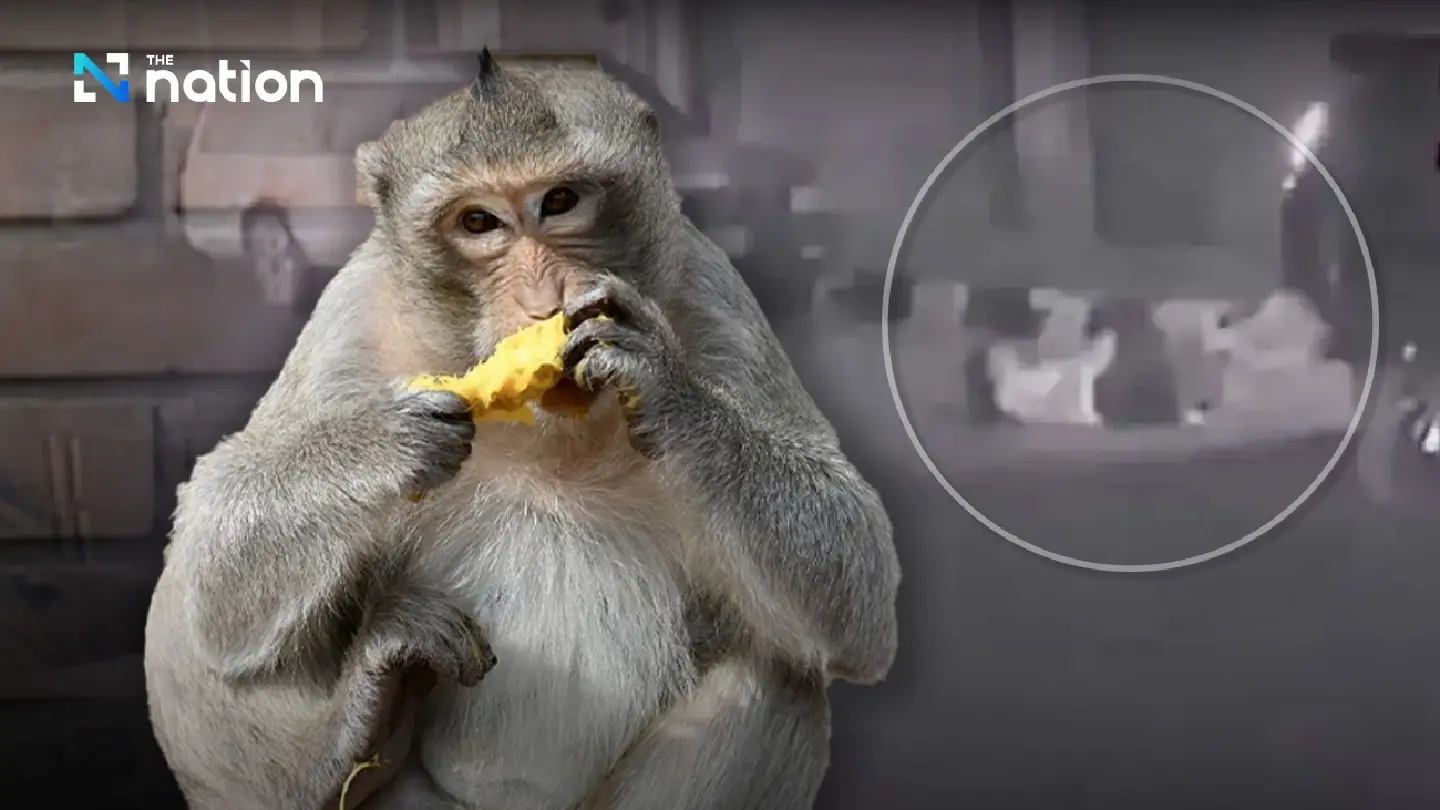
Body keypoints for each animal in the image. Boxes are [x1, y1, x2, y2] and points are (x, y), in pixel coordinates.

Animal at [144, 51, 901, 810]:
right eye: (479, 221)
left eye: (560, 201)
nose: (543, 302)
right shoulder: (351, 314)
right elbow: (216, 544)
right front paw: (385, 444)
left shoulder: (713, 291)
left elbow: (855, 569)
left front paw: (666, 384)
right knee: (190, 617)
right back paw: (352, 731)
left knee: (777, 674)